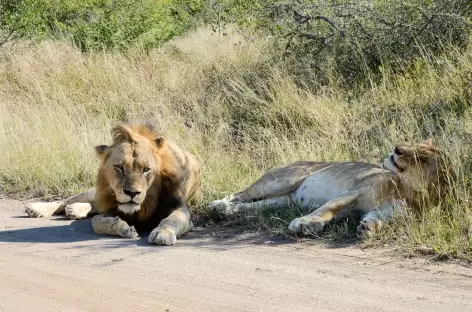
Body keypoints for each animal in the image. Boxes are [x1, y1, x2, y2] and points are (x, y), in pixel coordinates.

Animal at [24, 122, 201, 246]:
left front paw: (162, 234)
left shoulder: (179, 208)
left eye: (146, 169)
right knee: (68, 200)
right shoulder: (110, 207)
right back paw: (38, 209)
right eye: (119, 167)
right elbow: (97, 222)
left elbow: (170, 220)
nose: (132, 193)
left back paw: (73, 210)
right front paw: (124, 228)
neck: (147, 202)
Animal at [208, 138, 452, 238]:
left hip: (281, 201)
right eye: (413, 144)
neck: (409, 190)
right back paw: (216, 205)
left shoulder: (390, 212)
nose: (397, 148)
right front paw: (306, 224)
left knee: (251, 206)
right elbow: (328, 209)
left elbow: (378, 219)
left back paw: (226, 211)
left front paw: (368, 228)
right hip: (280, 180)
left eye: (421, 158)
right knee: (240, 194)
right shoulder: (354, 193)